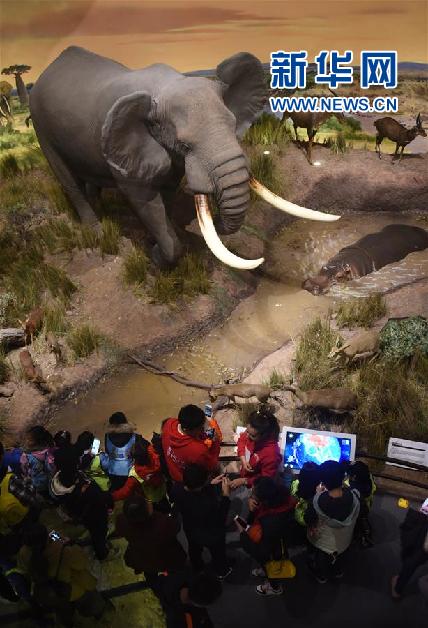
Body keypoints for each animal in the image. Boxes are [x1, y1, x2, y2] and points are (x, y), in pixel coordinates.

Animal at [29, 46, 338, 268]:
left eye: (232, 125)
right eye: (185, 144)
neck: (164, 87)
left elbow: (165, 191)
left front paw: (163, 237)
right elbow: (145, 201)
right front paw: (158, 255)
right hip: (41, 126)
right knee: (67, 178)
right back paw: (95, 230)